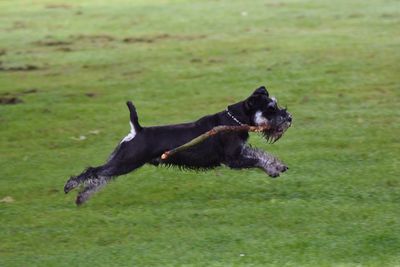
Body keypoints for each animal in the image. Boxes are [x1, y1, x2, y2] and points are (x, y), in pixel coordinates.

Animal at [64, 86, 292, 205]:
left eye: (276, 104)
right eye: (270, 109)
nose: (289, 118)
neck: (235, 120)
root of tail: (137, 130)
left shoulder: (241, 151)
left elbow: (262, 154)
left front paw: (277, 166)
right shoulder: (233, 159)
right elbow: (257, 160)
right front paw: (273, 169)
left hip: (120, 161)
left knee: (100, 177)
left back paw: (82, 197)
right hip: (125, 162)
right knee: (94, 172)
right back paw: (71, 186)